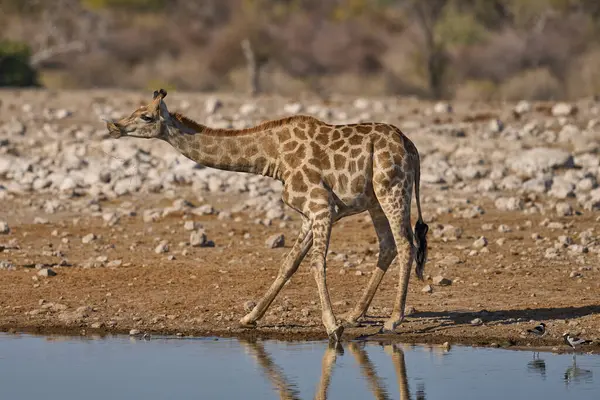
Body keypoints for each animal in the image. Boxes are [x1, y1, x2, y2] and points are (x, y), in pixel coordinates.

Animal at [106, 90, 426, 340]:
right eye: (134, 111)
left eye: (147, 116)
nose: (113, 126)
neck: (273, 158)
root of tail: (412, 147)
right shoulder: (313, 212)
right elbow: (289, 263)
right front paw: (250, 318)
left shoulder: (320, 205)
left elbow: (316, 263)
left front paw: (332, 328)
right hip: (375, 200)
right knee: (388, 246)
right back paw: (355, 314)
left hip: (392, 190)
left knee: (405, 245)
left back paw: (392, 320)